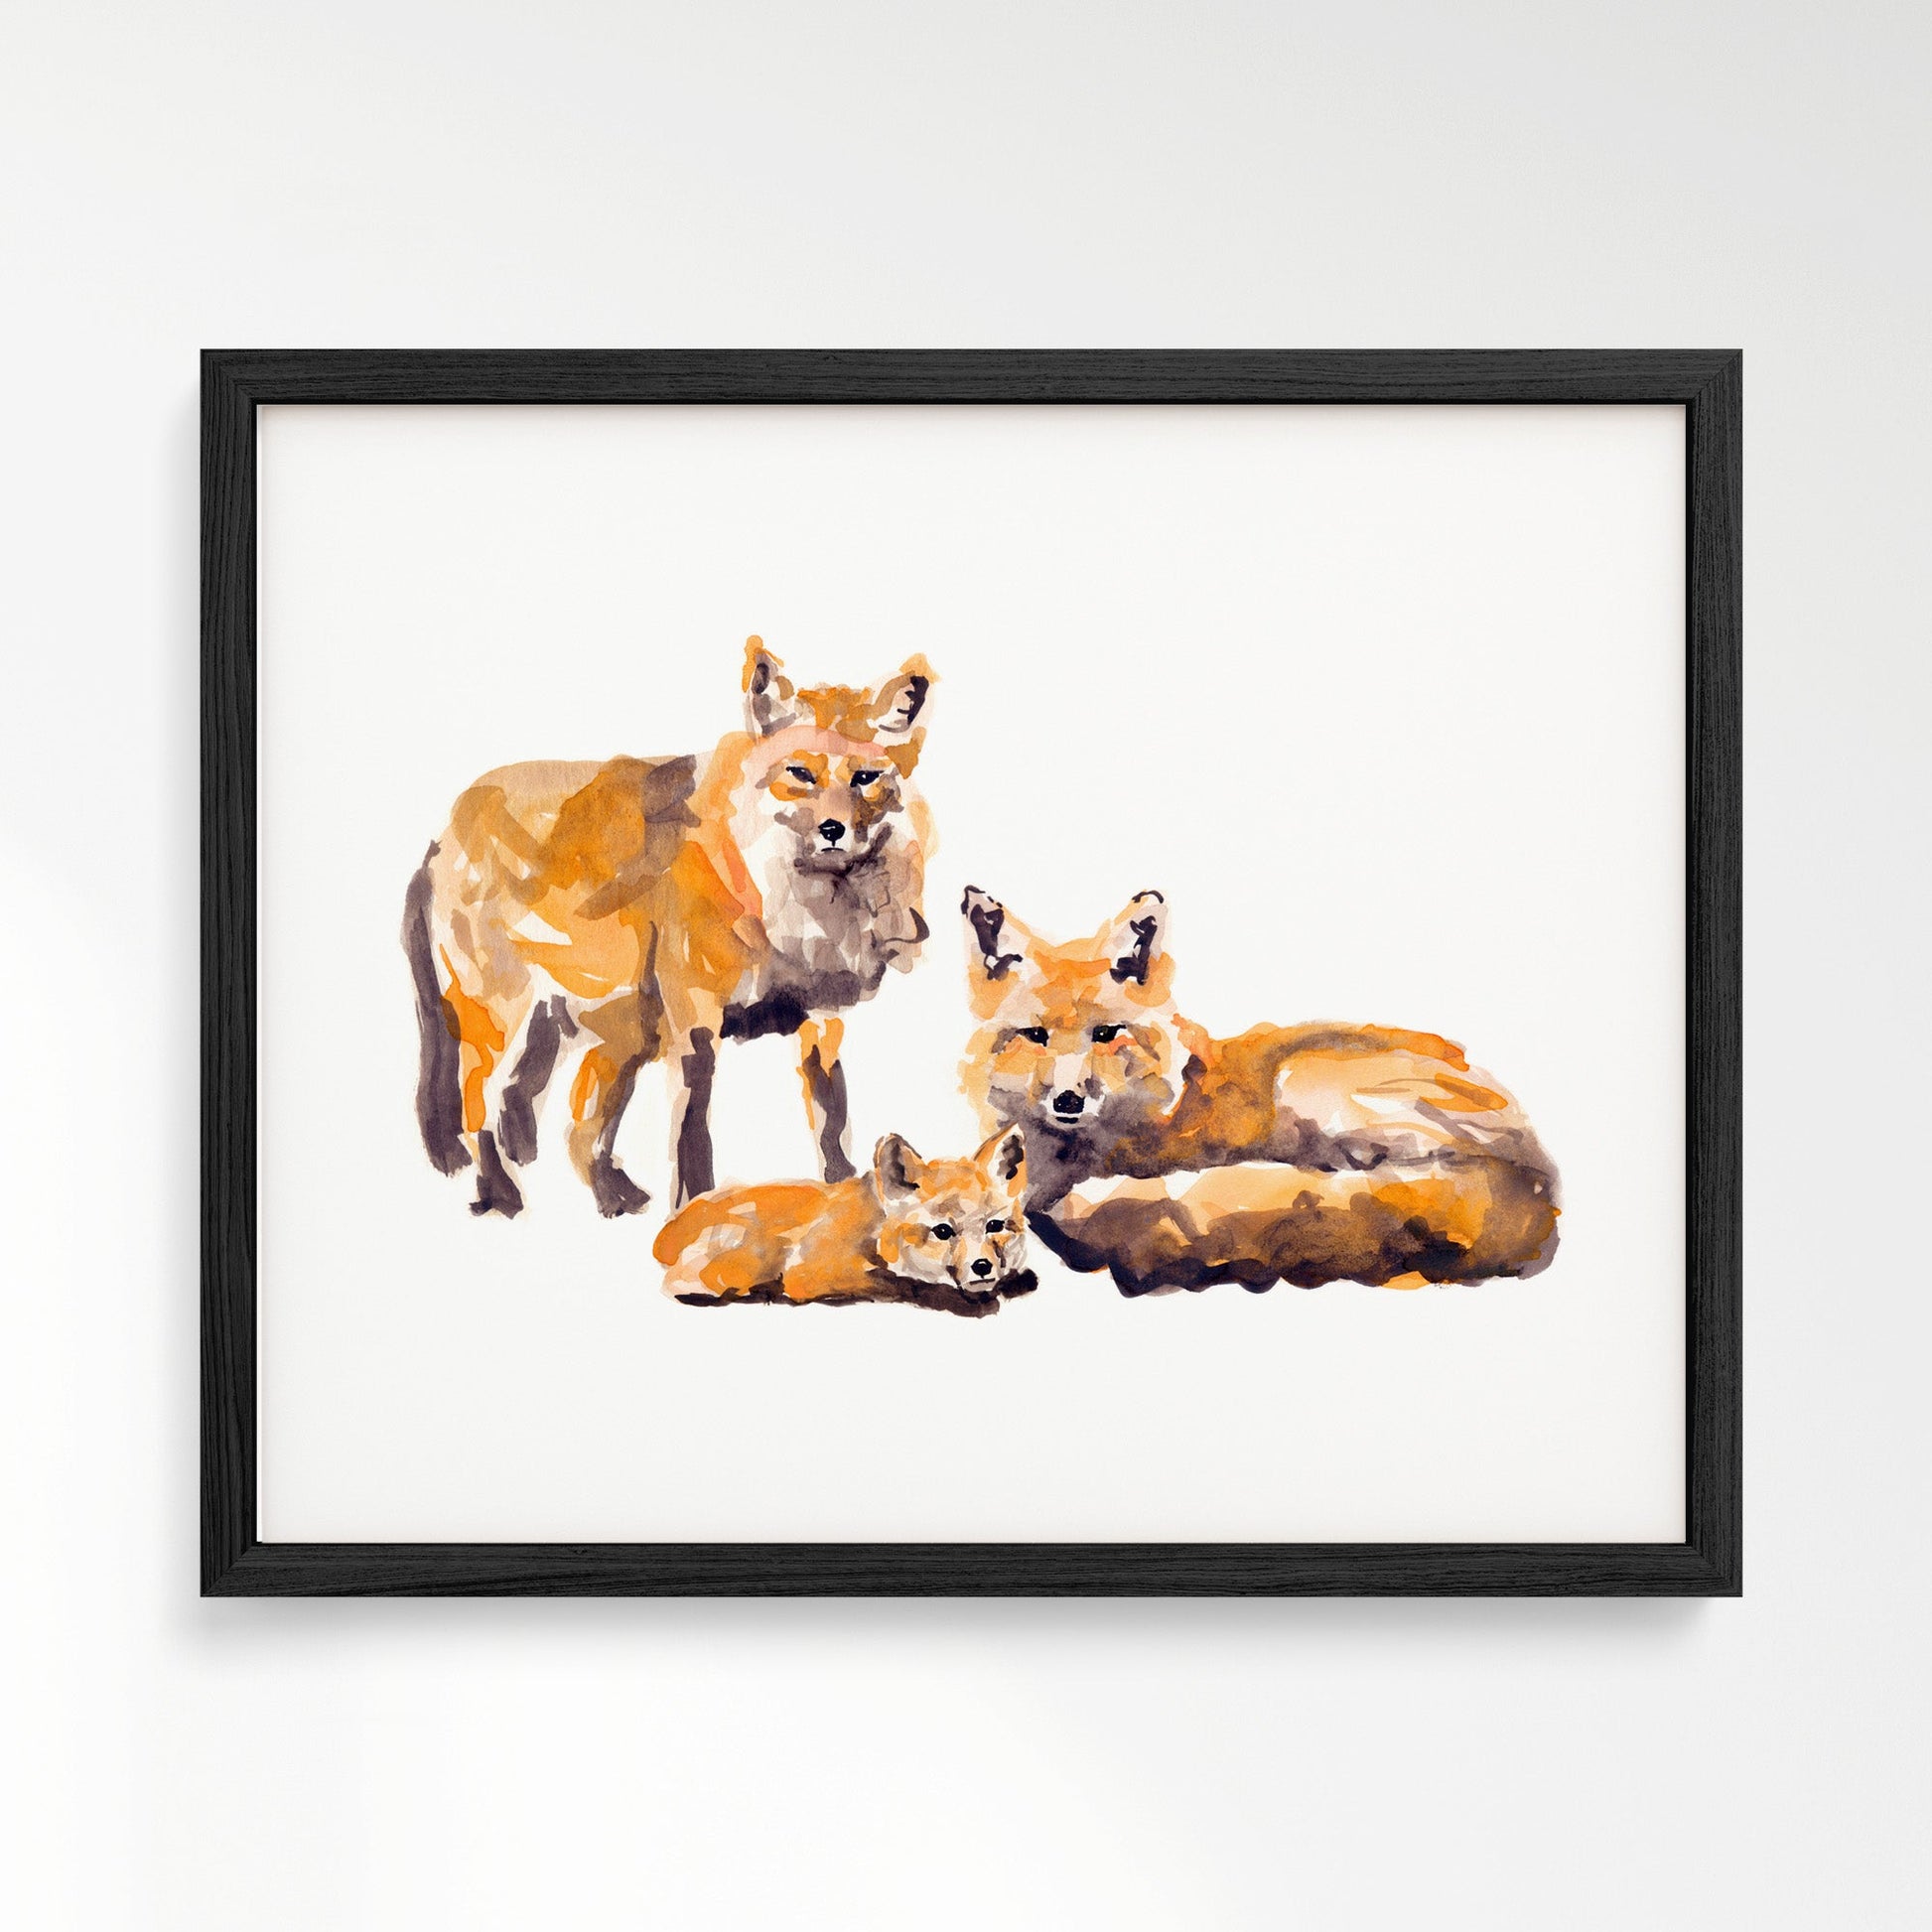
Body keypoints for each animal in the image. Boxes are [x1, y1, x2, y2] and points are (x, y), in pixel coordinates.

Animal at [403, 638, 936, 1218]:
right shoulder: (693, 1019)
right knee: (482, 1104)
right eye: (799, 774)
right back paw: (503, 1196)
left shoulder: (823, 1019)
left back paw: (596, 1190)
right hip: (512, 1019)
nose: (833, 830)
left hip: (598, 1025)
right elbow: (691, 1132)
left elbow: (831, 1118)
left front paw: (842, 1191)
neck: (797, 918)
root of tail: (447, 824)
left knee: (546, 1114)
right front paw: (694, 1207)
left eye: (865, 778)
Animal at [652, 1129, 1034, 1317]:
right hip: (748, 1257)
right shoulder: (811, 1270)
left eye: (995, 1226)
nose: (982, 1266)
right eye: (943, 1231)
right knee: (684, 1285)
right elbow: (903, 1284)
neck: (874, 1228)